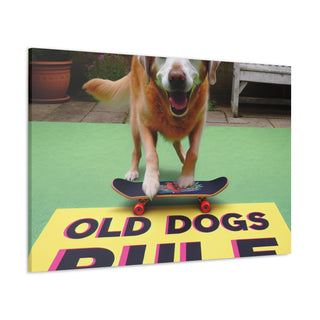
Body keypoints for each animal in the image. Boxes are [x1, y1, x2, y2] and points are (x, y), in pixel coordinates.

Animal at [82, 56, 219, 199]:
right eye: (162, 58)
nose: (176, 77)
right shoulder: (144, 124)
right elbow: (151, 154)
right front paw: (151, 181)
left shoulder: (199, 123)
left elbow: (193, 152)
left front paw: (186, 177)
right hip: (135, 124)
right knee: (136, 151)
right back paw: (133, 171)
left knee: (176, 143)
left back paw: (183, 158)